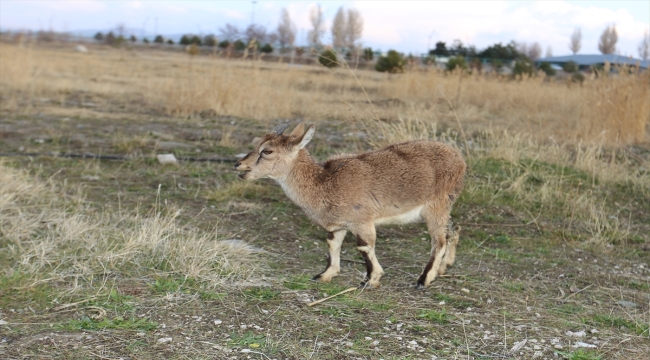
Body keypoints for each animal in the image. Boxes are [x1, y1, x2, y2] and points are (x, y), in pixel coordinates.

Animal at [235, 122, 464, 288]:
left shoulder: (362, 220)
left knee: (439, 240)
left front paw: (371, 279)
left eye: (267, 151)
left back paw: (424, 279)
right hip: (445, 206)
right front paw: (325, 275)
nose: (238, 164)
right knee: (453, 228)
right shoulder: (338, 224)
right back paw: (444, 267)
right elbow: (333, 244)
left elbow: (364, 246)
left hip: (435, 205)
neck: (324, 183)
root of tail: (460, 160)